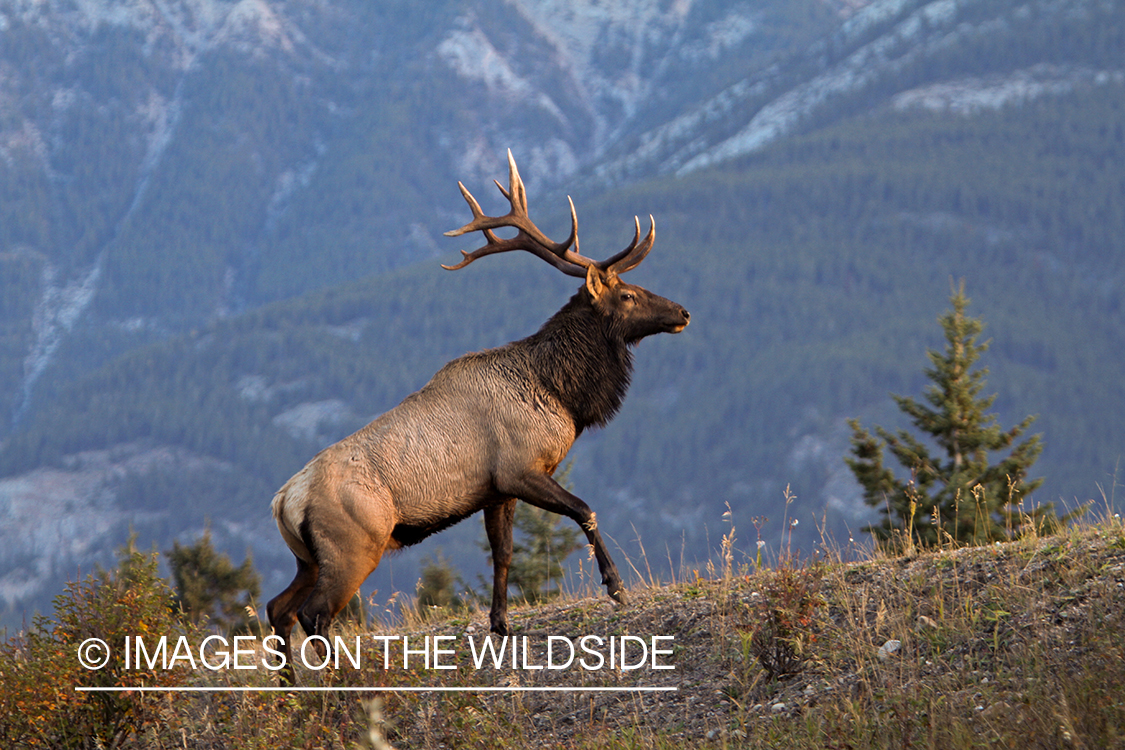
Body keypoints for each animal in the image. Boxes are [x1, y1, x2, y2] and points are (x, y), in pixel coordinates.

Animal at [265, 152, 684, 679]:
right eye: (627, 294)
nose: (682, 312)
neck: (558, 394)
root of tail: (283, 501)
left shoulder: (497, 490)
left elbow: (502, 556)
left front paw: (501, 625)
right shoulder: (521, 469)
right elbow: (585, 509)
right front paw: (616, 587)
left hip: (309, 558)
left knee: (278, 607)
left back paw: (293, 685)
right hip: (353, 546)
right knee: (313, 613)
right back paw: (345, 680)